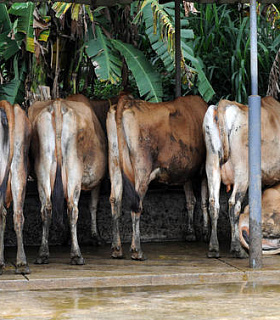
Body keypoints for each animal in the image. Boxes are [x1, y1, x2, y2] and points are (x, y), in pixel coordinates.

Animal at [28, 97, 106, 264]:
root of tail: (57, 104)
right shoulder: (97, 181)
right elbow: (93, 206)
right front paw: (95, 236)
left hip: (43, 167)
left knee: (46, 208)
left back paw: (43, 254)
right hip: (73, 169)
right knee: (72, 208)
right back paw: (76, 254)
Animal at [106, 94, 208, 260]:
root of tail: (127, 101)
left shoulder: (186, 172)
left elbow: (190, 200)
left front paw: (190, 233)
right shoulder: (204, 169)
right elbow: (204, 201)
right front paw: (205, 232)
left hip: (114, 161)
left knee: (115, 200)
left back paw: (117, 249)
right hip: (142, 168)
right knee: (137, 204)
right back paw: (137, 250)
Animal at [202, 96, 280, 258]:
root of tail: (225, 104)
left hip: (212, 162)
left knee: (214, 203)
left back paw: (214, 248)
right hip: (243, 171)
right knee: (234, 204)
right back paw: (237, 248)